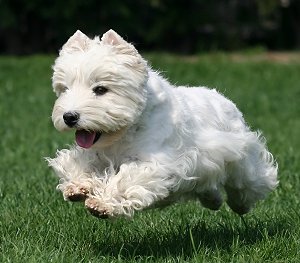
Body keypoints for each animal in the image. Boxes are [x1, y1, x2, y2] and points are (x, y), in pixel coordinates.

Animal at [45, 28, 278, 220]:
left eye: (101, 89)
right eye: (65, 89)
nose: (69, 117)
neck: (125, 133)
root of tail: (226, 101)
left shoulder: (156, 162)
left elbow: (126, 179)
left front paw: (101, 204)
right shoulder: (98, 154)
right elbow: (80, 163)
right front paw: (77, 187)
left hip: (241, 160)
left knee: (250, 182)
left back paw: (241, 205)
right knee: (209, 186)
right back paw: (214, 201)